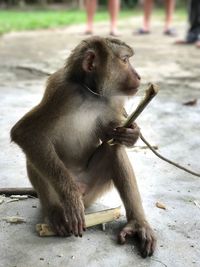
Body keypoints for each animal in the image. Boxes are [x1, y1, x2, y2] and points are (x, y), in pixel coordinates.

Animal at [10, 36, 156, 258]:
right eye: (125, 60)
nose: (139, 76)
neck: (89, 94)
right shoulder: (62, 92)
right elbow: (26, 133)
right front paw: (70, 195)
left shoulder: (112, 101)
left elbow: (110, 135)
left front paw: (131, 134)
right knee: (35, 153)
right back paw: (54, 213)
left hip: (93, 191)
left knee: (113, 150)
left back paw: (137, 224)